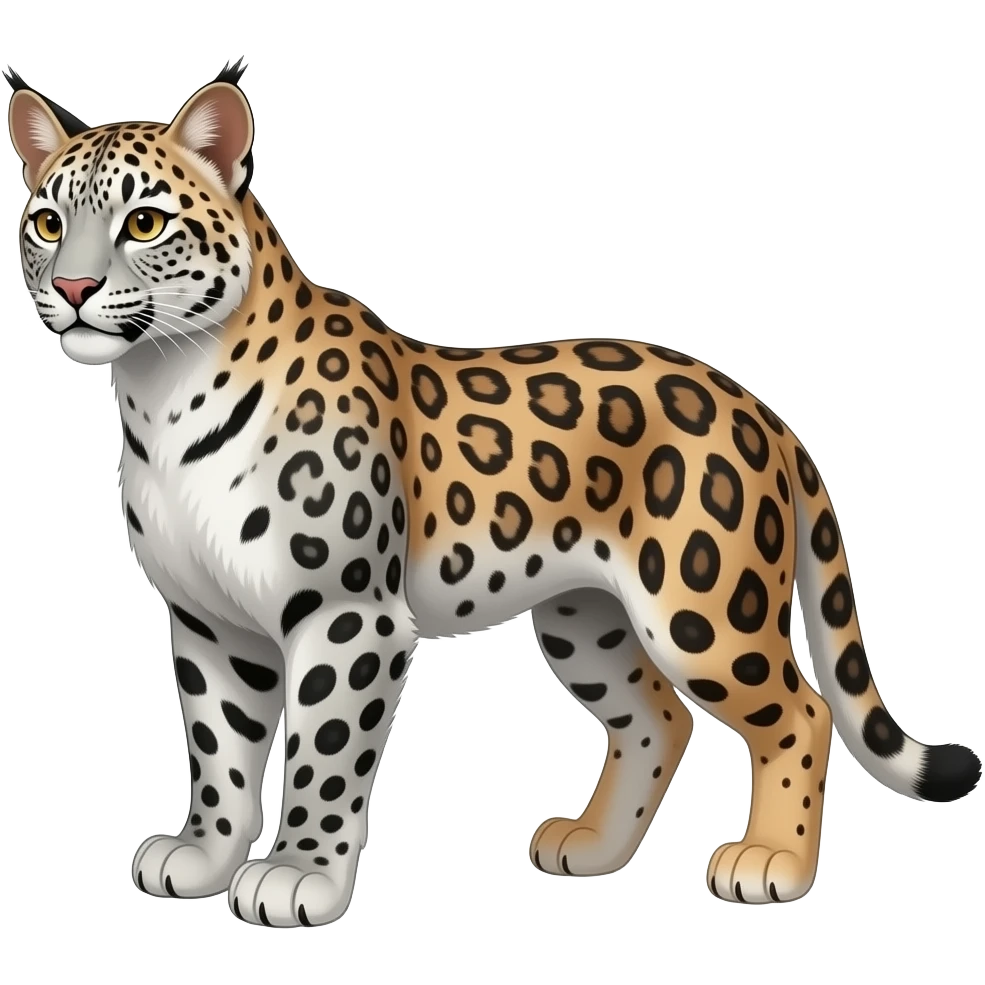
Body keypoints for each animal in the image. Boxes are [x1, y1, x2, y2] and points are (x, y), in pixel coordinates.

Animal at [6, 58, 981, 927]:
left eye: (144, 221)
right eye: (47, 222)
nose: (74, 287)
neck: (161, 390)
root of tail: (762, 410)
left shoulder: (345, 615)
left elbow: (325, 754)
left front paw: (297, 875)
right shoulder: (210, 620)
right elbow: (220, 750)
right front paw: (205, 855)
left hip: (701, 607)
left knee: (800, 711)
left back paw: (770, 861)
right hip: (586, 619)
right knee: (657, 717)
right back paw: (590, 846)